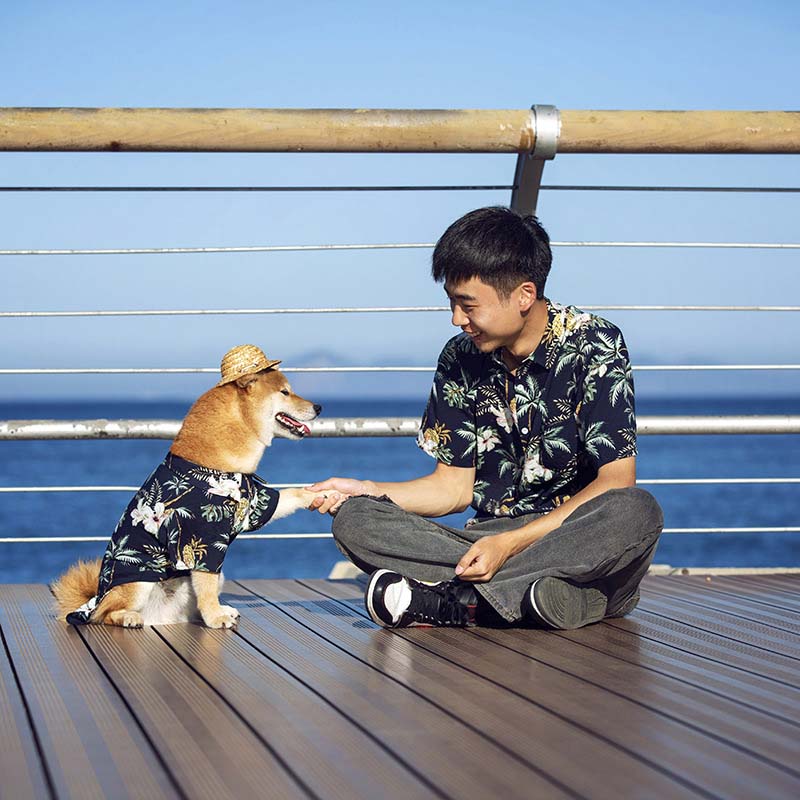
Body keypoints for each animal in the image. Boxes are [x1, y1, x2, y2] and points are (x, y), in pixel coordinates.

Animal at [53, 344, 324, 632]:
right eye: (285, 392)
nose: (318, 407)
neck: (215, 466)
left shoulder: (254, 505)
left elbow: (291, 494)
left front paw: (323, 493)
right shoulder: (203, 539)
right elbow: (206, 583)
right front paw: (215, 619)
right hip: (138, 581)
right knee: (104, 613)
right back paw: (128, 617)